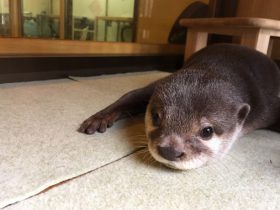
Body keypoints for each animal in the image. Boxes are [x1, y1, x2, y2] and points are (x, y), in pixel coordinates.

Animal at [77, 44, 280, 171]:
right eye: (156, 117)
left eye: (207, 131)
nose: (170, 151)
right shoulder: (158, 84)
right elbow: (131, 95)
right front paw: (99, 118)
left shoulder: (267, 104)